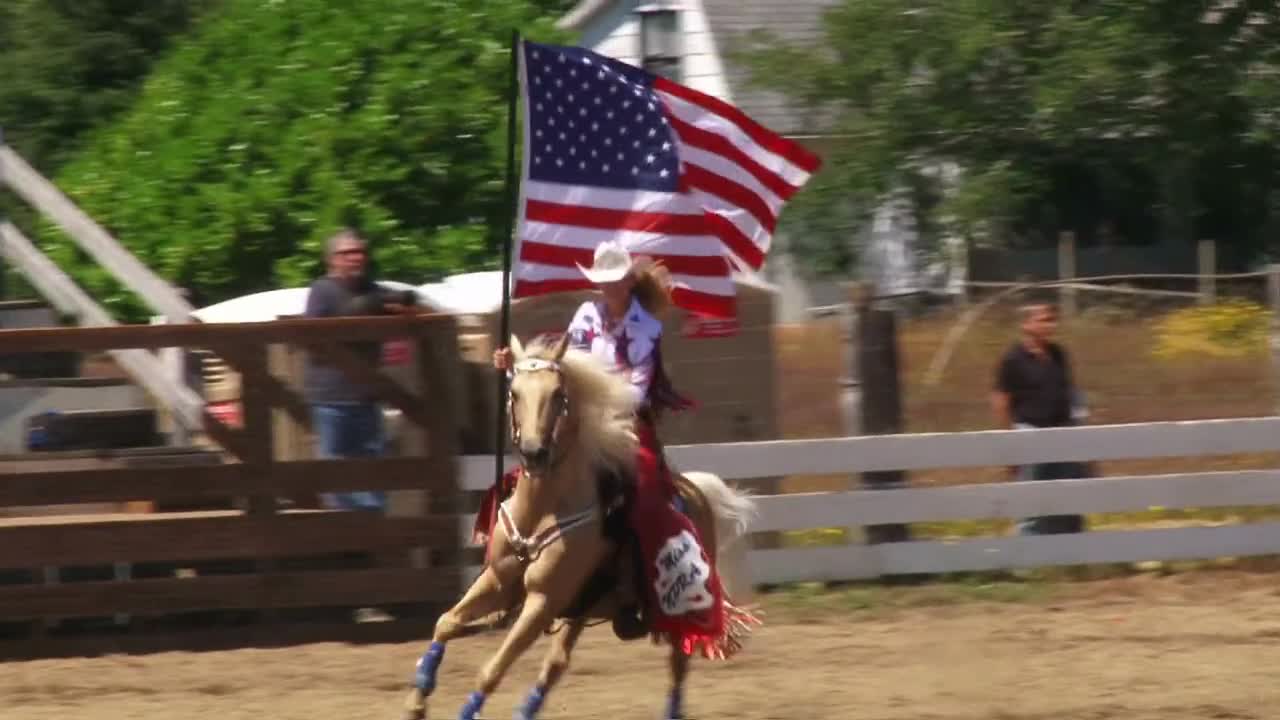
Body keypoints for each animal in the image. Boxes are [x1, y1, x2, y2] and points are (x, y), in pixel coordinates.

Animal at [404, 333, 752, 717]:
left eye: (558, 394)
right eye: (514, 393)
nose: (534, 453)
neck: (540, 511)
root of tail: (696, 490)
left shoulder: (543, 601)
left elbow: (491, 670)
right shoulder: (497, 580)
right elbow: (446, 622)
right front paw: (418, 699)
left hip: (679, 611)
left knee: (678, 663)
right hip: (581, 609)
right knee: (557, 663)